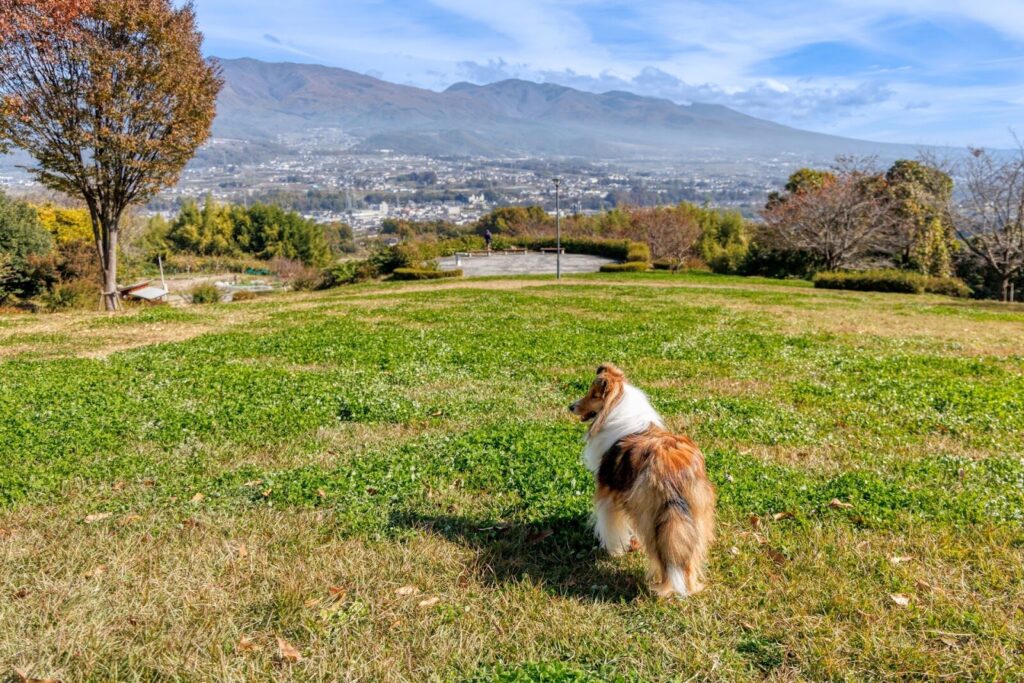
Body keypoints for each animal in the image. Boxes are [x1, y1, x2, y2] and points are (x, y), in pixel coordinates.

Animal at [569, 362, 720, 598]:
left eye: (593, 394)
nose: (571, 407)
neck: (615, 407)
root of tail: (672, 467)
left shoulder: (607, 492)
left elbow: (610, 526)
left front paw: (614, 550)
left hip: (652, 517)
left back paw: (664, 590)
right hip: (695, 514)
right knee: (689, 555)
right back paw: (691, 586)